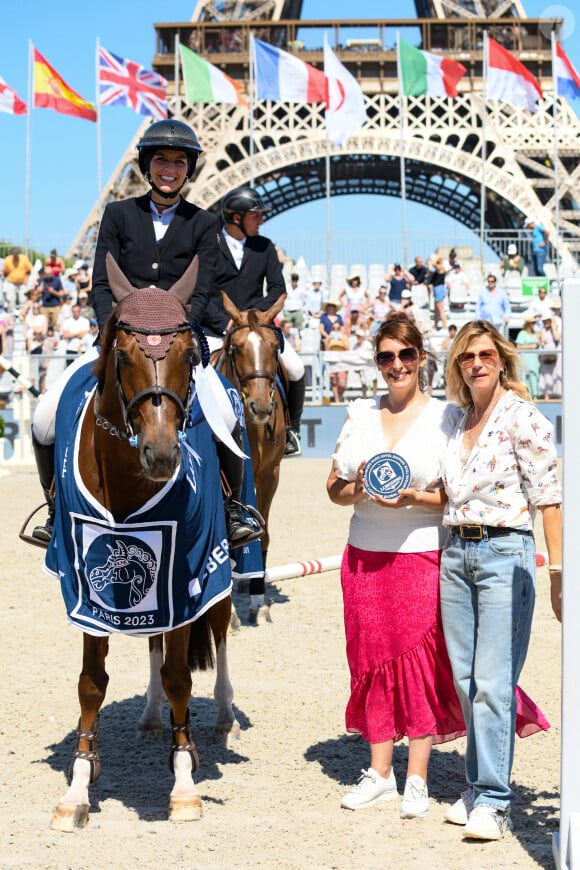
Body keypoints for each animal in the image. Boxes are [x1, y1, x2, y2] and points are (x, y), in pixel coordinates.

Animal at [47, 252, 238, 832]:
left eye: (187, 353)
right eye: (123, 353)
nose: (161, 453)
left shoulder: (185, 576)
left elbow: (179, 676)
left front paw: (184, 785)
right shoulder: (83, 585)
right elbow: (91, 681)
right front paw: (78, 785)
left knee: (218, 630)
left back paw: (217, 720)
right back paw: (156, 721)